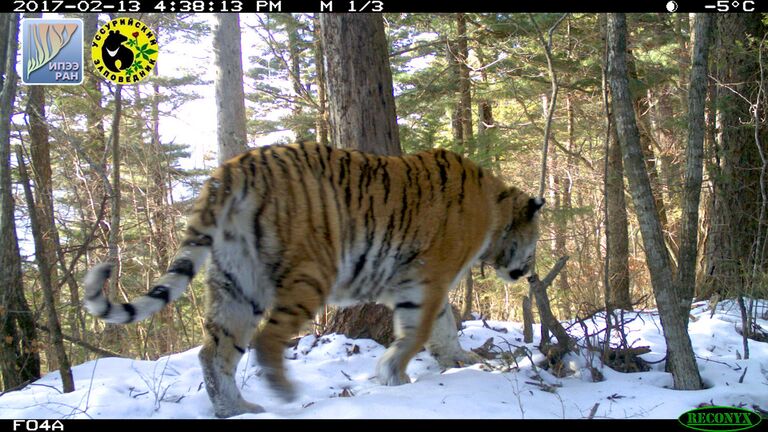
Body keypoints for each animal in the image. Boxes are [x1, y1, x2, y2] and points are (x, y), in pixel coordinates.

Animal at [82, 142, 540, 418]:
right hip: (310, 273)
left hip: (237, 282)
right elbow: (418, 331)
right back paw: (284, 394)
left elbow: (442, 326)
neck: (495, 208)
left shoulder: (429, 283)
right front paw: (394, 375)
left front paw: (461, 360)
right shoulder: (427, 278)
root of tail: (233, 168)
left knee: (214, 352)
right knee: (267, 341)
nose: (531, 272)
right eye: (534, 244)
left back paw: (239, 409)